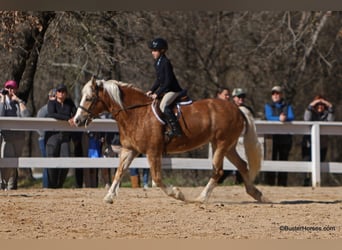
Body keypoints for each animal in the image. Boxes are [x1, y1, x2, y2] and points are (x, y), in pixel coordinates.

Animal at [73, 77, 268, 204]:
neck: (136, 113)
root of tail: (237, 108)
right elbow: (119, 172)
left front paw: (177, 194)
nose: (76, 121)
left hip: (220, 144)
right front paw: (109, 197)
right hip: (228, 146)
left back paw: (202, 198)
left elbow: (157, 178)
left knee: (218, 171)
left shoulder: (153, 152)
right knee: (242, 165)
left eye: (89, 98)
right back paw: (257, 195)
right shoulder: (130, 150)